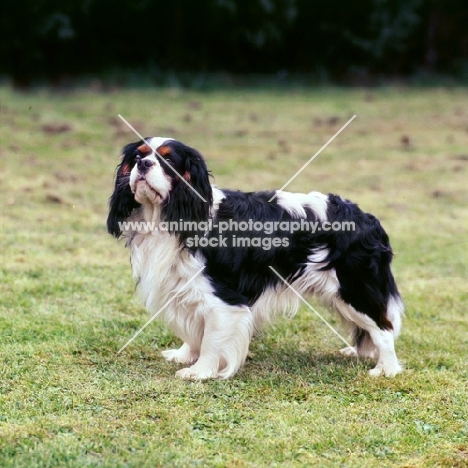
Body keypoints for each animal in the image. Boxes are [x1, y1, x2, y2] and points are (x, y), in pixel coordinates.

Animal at [108, 137, 404, 378]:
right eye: (137, 157)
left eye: (168, 160)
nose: (143, 164)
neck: (167, 217)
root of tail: (367, 217)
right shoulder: (183, 287)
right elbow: (194, 332)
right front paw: (185, 356)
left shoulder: (223, 299)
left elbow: (211, 339)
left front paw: (200, 371)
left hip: (355, 288)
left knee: (384, 328)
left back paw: (385, 369)